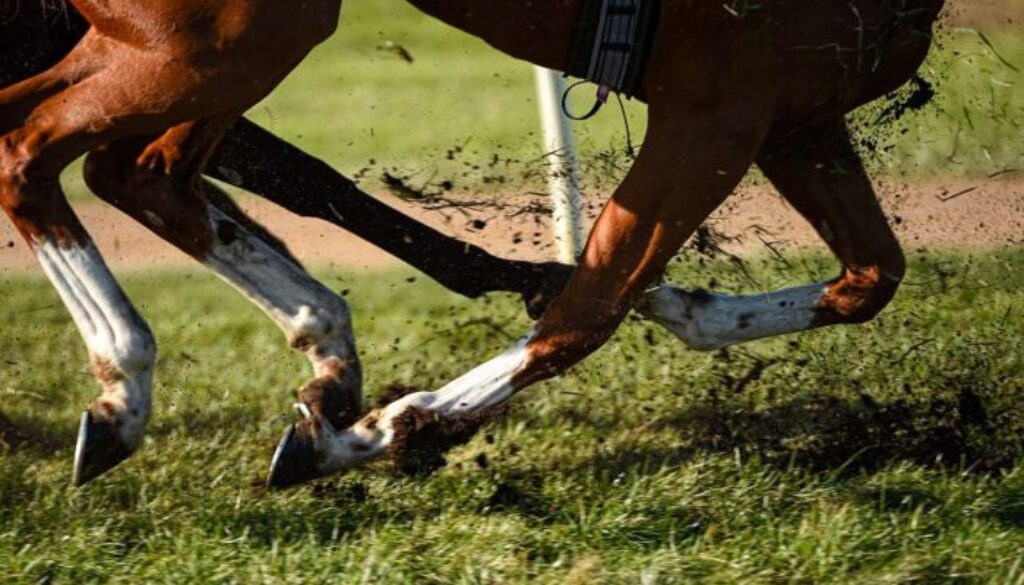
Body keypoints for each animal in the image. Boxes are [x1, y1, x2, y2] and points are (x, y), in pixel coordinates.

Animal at [0, 0, 945, 488]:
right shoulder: (719, 109)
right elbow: (585, 316)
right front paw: (386, 431)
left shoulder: (798, 117)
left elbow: (872, 276)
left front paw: (677, 300)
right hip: (225, 38)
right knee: (35, 148)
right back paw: (128, 378)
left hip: (209, 43)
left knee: (138, 171)